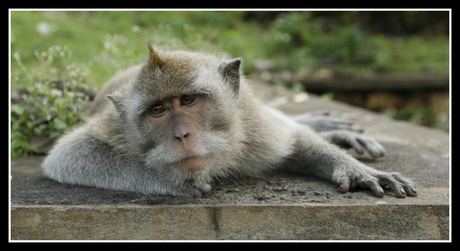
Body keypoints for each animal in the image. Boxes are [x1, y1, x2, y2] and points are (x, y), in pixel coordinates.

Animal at [42, 44, 416, 198]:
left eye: (188, 100)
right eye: (158, 110)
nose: (182, 135)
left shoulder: (252, 127)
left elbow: (292, 142)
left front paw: (354, 169)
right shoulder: (115, 127)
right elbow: (67, 156)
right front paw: (174, 182)